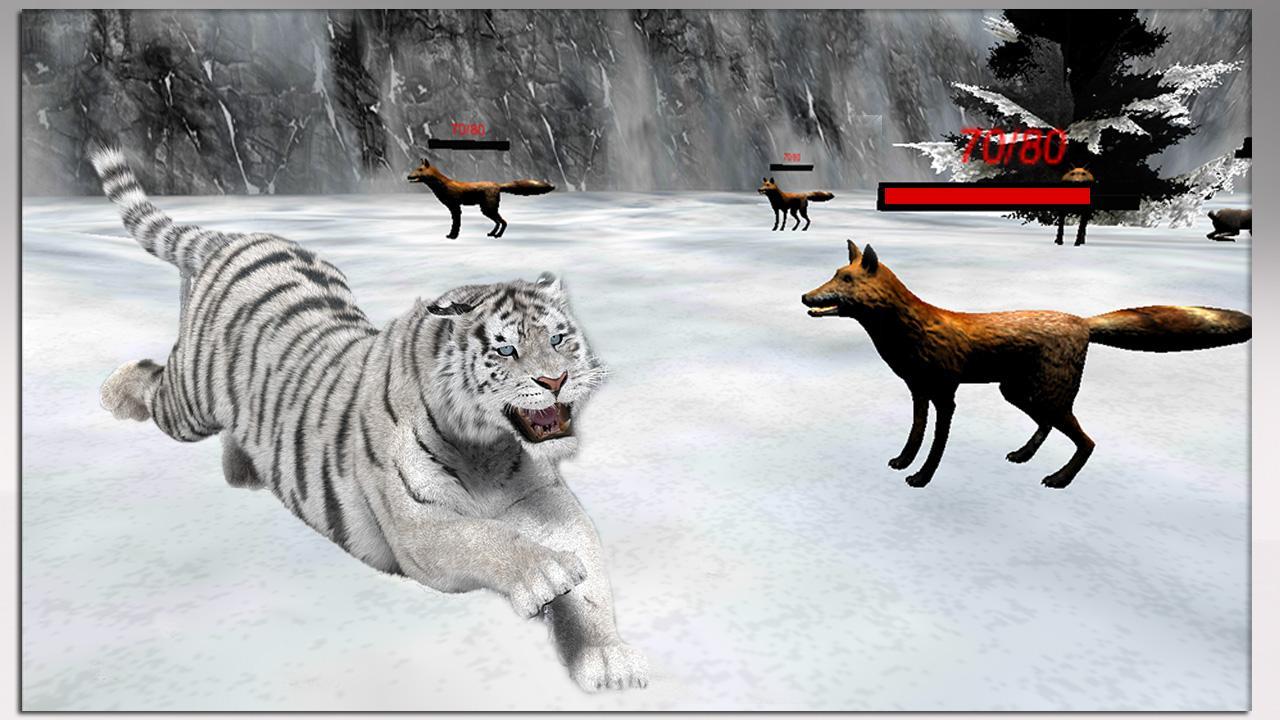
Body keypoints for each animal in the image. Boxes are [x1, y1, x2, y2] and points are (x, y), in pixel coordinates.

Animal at [88, 147, 649, 692]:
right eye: (506, 348)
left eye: (559, 338)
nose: (556, 380)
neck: (487, 447)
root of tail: (234, 235)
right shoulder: (419, 526)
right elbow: (484, 538)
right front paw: (547, 574)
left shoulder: (548, 502)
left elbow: (590, 575)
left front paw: (608, 659)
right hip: (188, 401)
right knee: (157, 384)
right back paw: (113, 393)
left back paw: (244, 469)